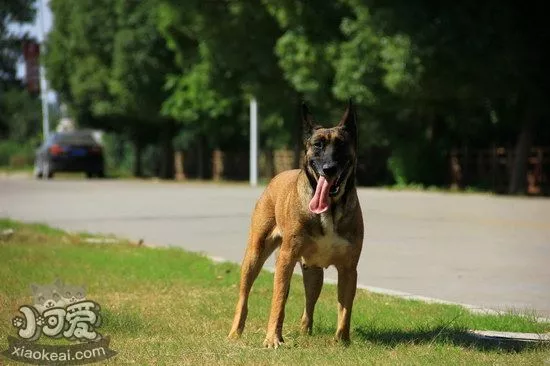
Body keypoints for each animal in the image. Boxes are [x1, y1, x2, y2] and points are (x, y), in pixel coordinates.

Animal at [230, 101, 366, 348]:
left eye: (341, 145)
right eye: (317, 145)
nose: (329, 168)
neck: (329, 208)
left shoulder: (349, 268)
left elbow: (345, 308)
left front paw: (342, 341)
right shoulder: (286, 258)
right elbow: (278, 300)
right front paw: (272, 339)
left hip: (314, 272)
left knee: (309, 303)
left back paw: (305, 331)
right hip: (255, 253)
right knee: (246, 294)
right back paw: (236, 332)